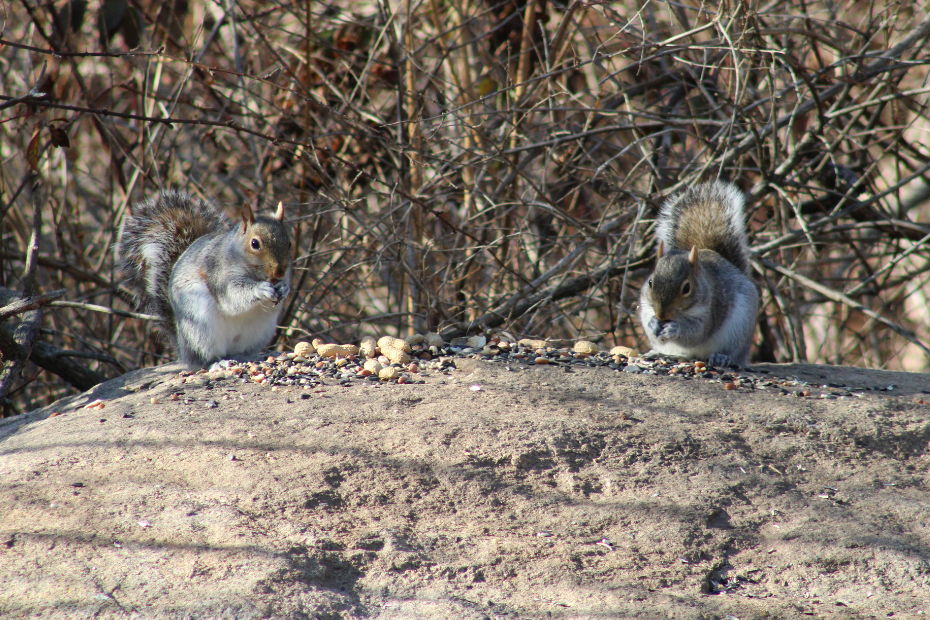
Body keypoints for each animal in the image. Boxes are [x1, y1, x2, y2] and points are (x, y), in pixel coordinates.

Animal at [116, 189, 293, 368]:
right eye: (255, 243)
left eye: (289, 244)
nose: (279, 272)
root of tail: (183, 351)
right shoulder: (219, 274)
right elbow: (233, 296)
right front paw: (261, 289)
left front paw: (284, 288)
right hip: (201, 328)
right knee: (202, 360)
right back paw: (216, 363)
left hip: (259, 332)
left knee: (240, 352)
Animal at [639, 181, 758, 367]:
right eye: (650, 282)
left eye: (687, 288)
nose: (661, 315)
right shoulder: (645, 304)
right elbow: (647, 320)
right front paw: (652, 323)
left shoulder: (711, 309)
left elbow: (696, 333)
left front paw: (674, 328)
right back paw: (660, 353)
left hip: (740, 328)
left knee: (733, 353)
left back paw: (721, 357)